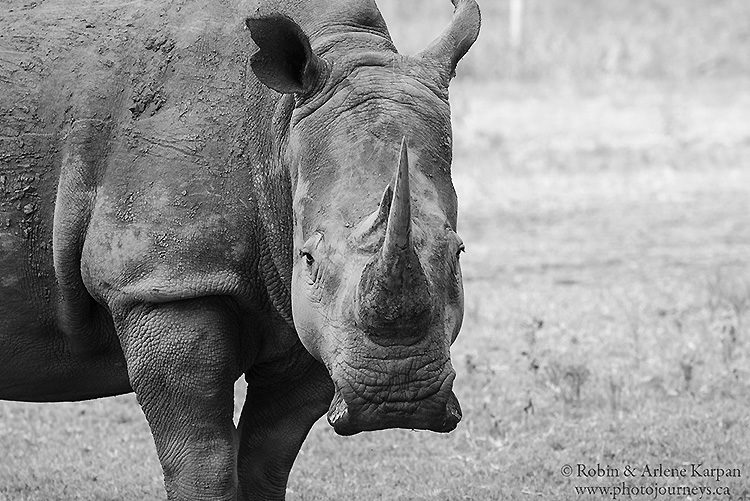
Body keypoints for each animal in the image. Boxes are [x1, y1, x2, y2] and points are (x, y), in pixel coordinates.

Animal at [0, 0, 482, 496]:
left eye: (458, 254)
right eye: (309, 259)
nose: (397, 397)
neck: (278, 126)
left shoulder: (304, 311)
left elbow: (268, 456)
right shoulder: (165, 281)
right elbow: (202, 457)